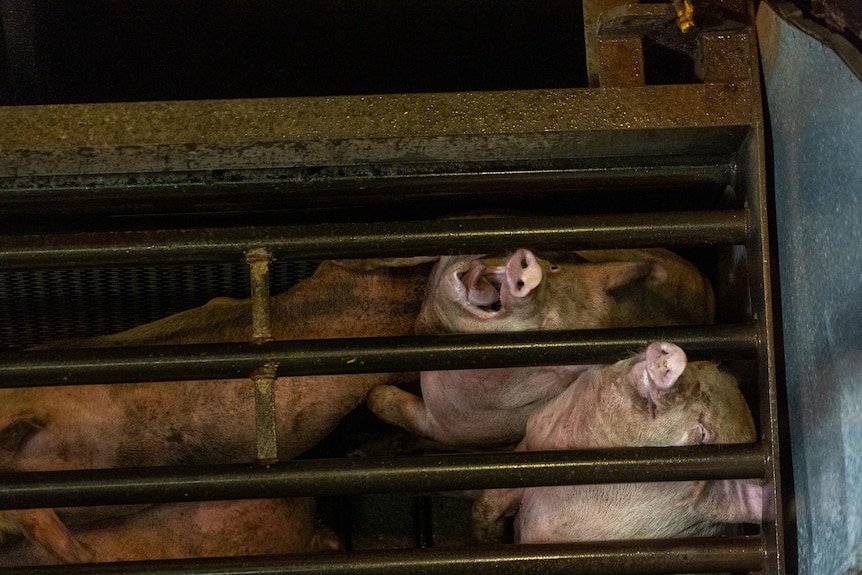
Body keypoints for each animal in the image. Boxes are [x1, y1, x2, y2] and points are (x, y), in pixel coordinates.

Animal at [368, 248, 720, 450]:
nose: (530, 274)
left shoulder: (456, 428)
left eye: (549, 327)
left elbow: (384, 401)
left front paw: (376, 397)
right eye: (553, 268)